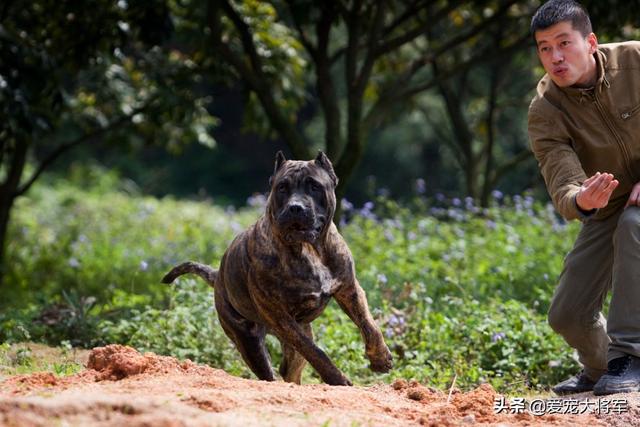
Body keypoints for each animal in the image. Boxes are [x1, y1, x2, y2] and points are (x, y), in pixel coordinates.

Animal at [162, 152, 392, 386]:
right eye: (282, 187)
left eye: (314, 186)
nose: (295, 207)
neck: (308, 249)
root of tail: (218, 277)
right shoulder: (281, 317)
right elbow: (315, 351)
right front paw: (337, 379)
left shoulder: (349, 289)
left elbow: (369, 324)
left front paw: (380, 358)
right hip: (250, 342)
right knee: (271, 372)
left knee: (290, 370)